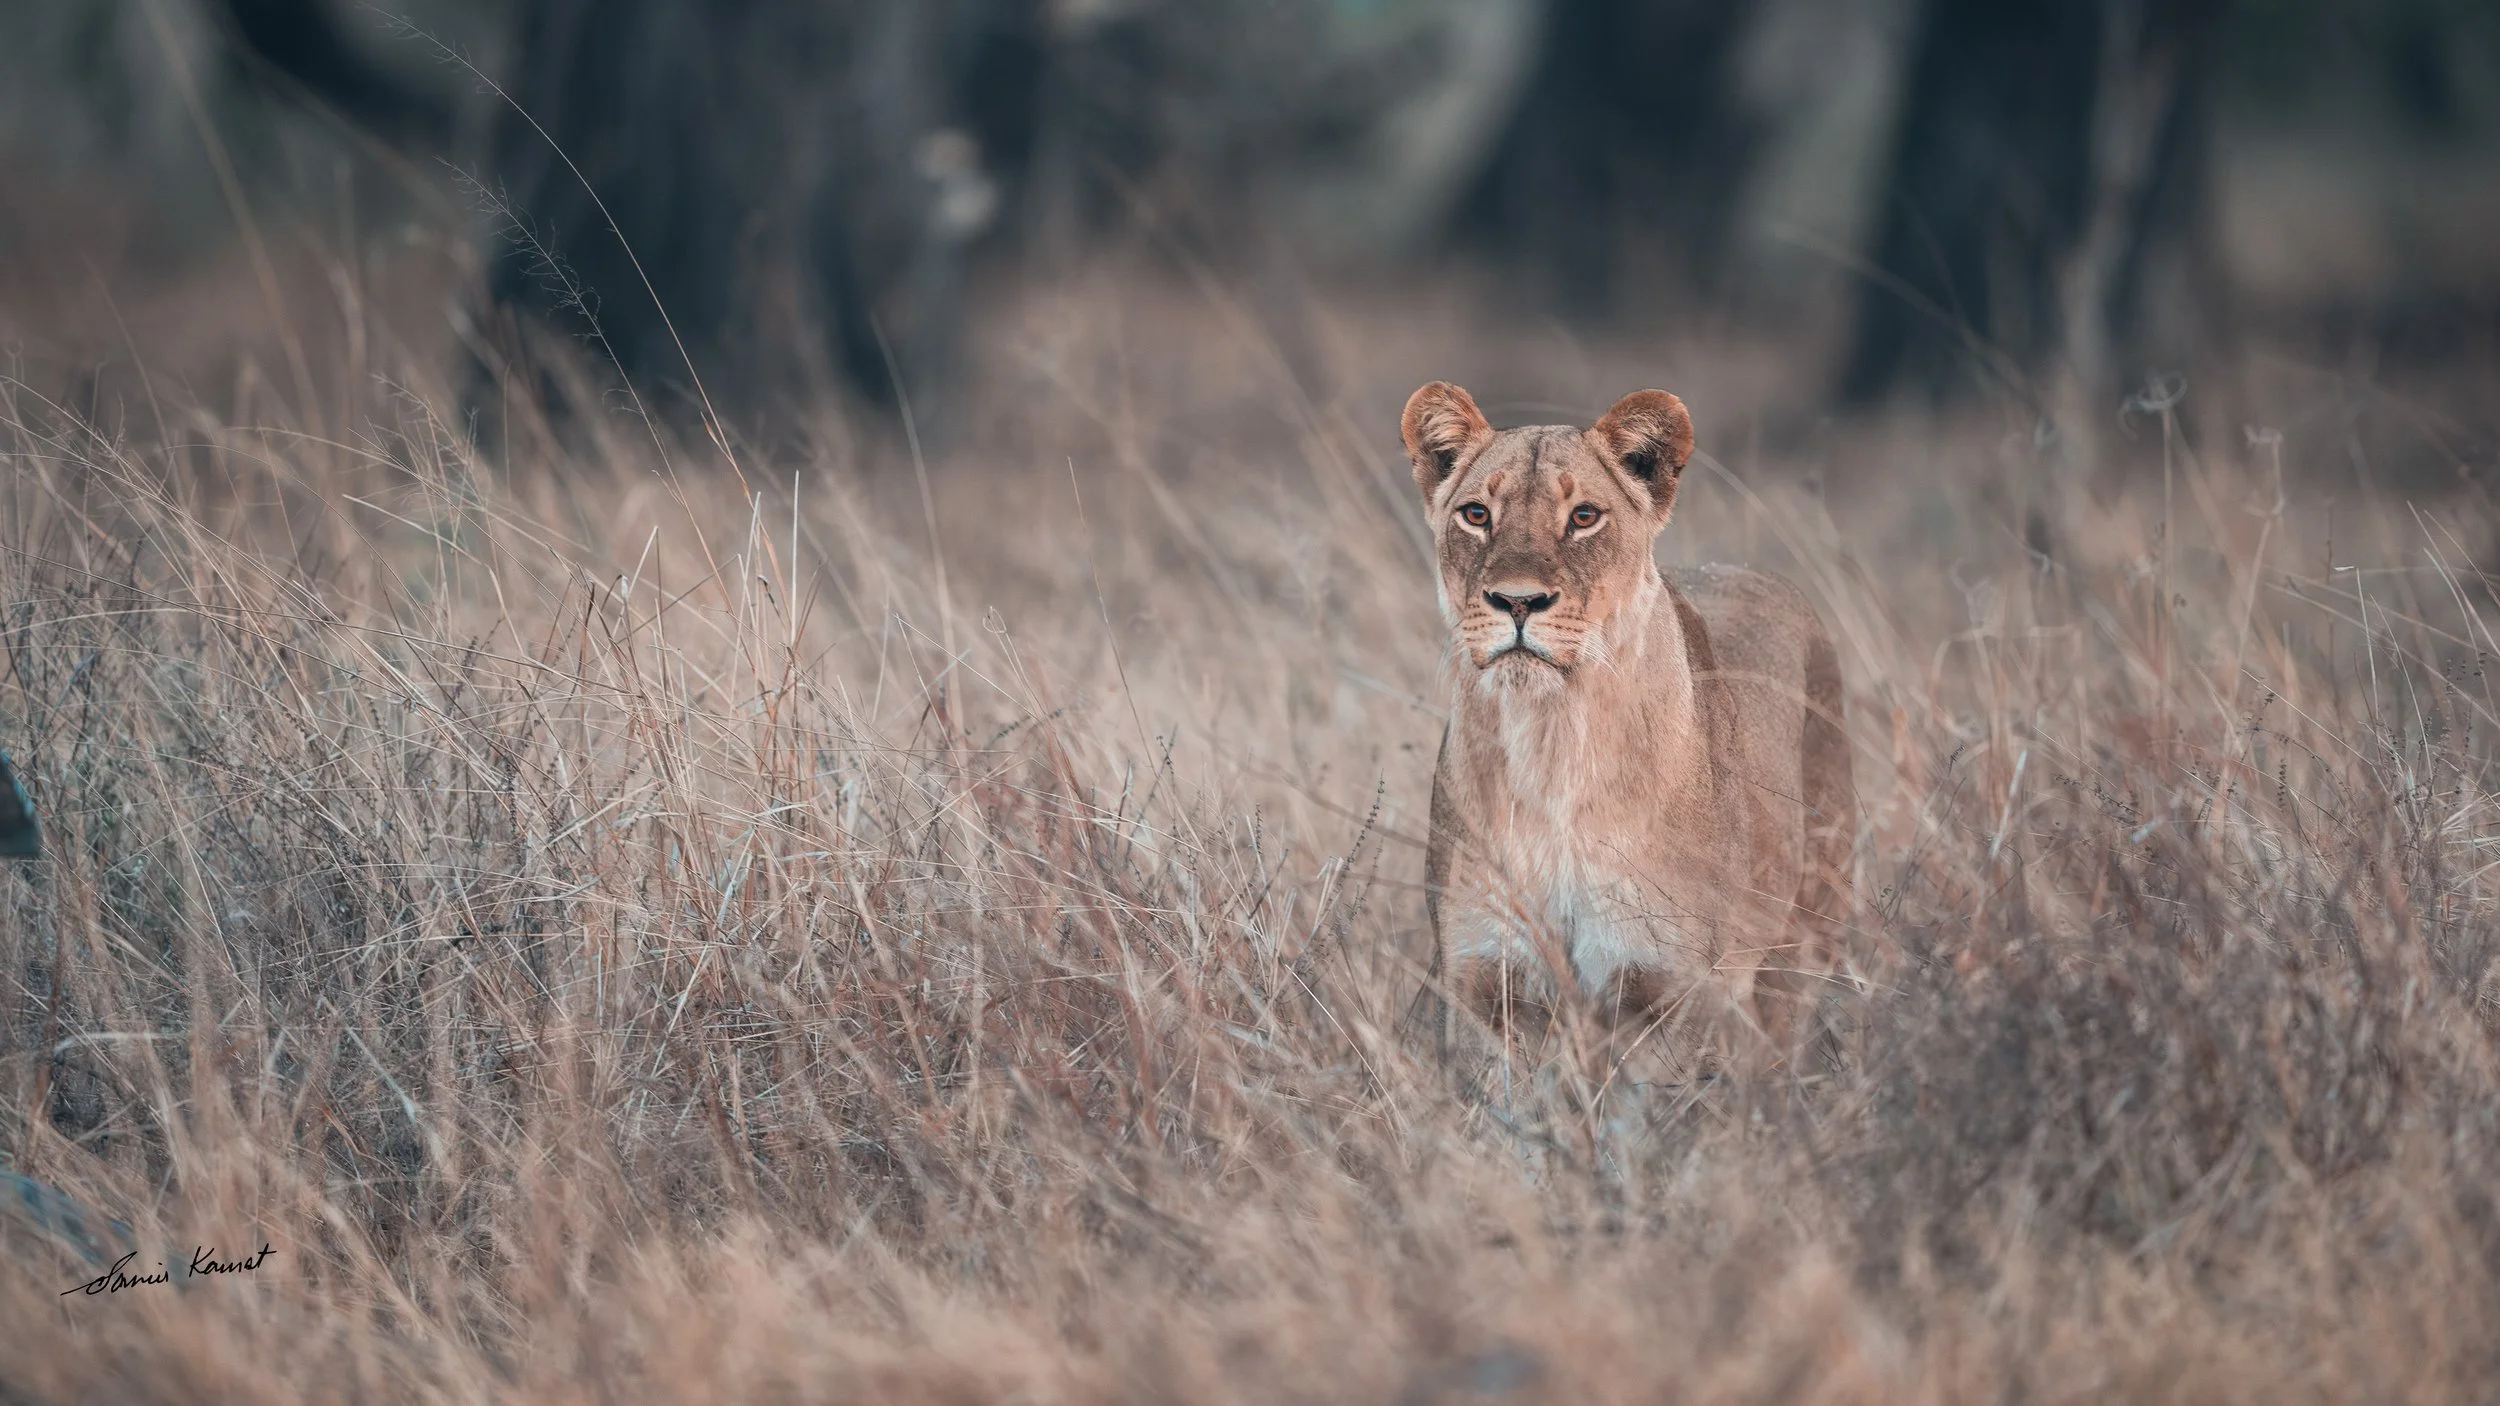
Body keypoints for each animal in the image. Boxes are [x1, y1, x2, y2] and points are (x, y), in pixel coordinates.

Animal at [1402, 381, 1854, 1073]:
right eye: (1476, 514)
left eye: (1585, 516)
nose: (1517, 601)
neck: (1551, 743)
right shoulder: (1484, 980)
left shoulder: (1669, 988)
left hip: (1800, 944)